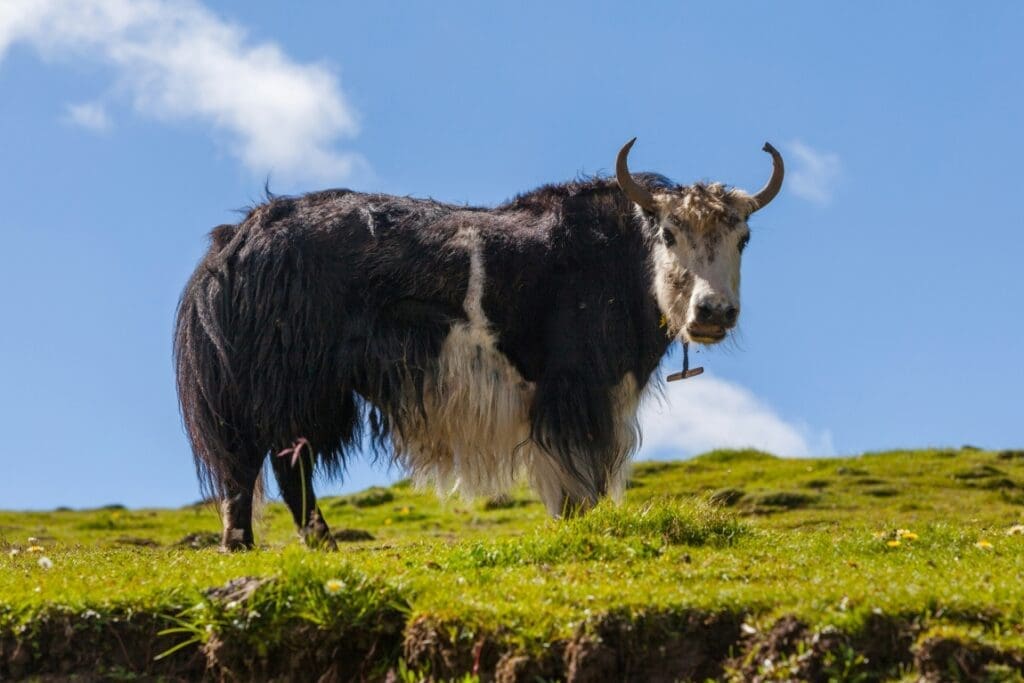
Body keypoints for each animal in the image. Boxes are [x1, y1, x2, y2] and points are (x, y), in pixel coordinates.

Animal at [174, 139, 783, 550]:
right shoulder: (577, 392)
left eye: (743, 238)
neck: (623, 261)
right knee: (273, 464)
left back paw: (248, 546)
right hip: (289, 386)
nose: (712, 312)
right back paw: (310, 543)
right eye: (669, 234)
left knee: (249, 466)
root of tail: (238, 238)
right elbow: (580, 478)